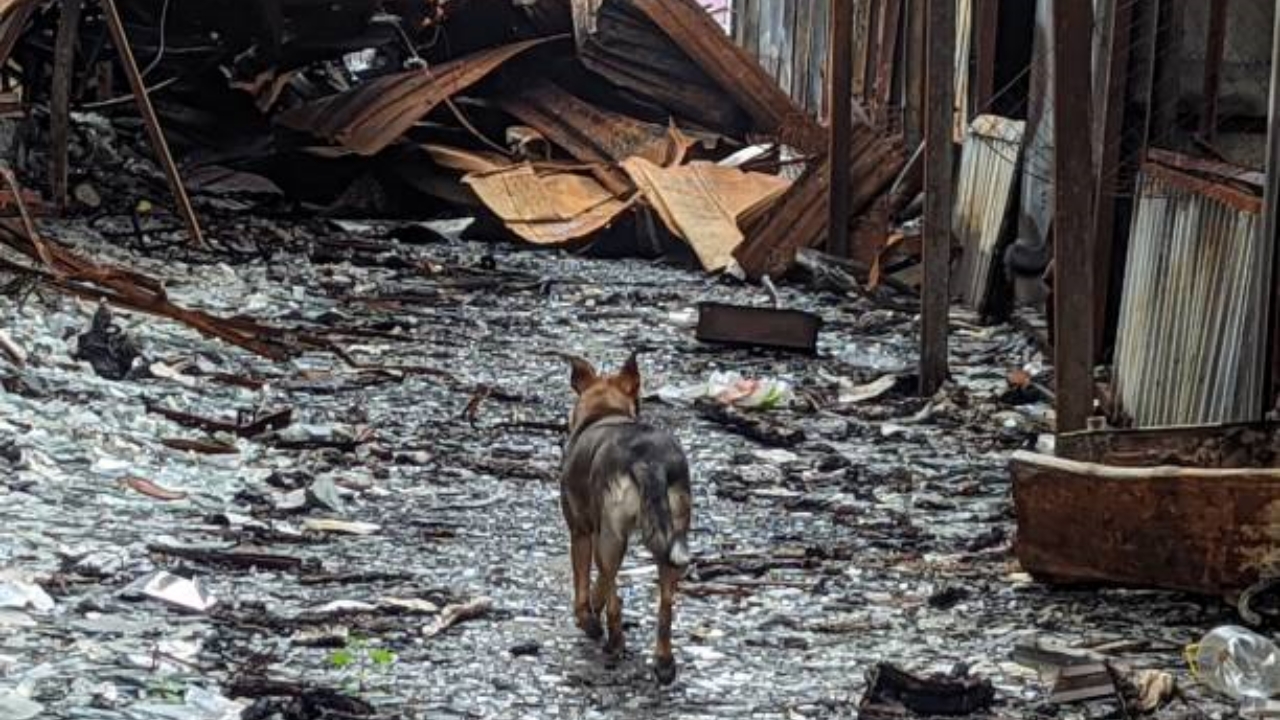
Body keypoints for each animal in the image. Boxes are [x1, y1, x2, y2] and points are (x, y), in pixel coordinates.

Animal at [560, 353, 696, 681]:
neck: (605, 412)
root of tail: (649, 460)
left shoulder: (581, 532)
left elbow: (584, 585)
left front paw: (587, 619)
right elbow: (598, 585)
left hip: (611, 537)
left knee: (615, 597)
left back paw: (613, 642)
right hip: (674, 534)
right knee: (665, 605)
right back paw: (664, 662)